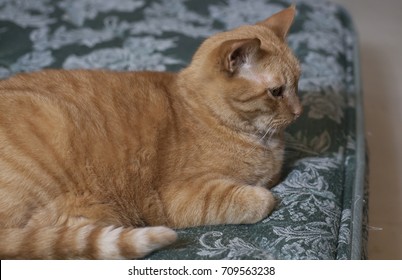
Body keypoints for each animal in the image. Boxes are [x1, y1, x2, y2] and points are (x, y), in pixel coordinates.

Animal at [0, 7, 300, 260]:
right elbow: (258, 199)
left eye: (298, 83)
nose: (299, 111)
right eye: (276, 92)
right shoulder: (180, 197)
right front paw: (265, 197)